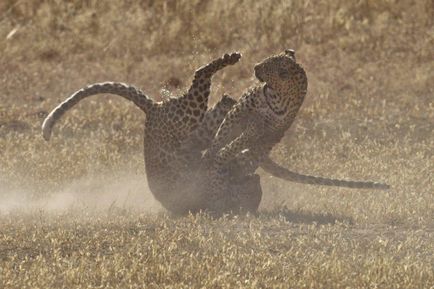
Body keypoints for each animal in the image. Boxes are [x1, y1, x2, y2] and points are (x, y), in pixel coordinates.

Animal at [203, 48, 390, 213]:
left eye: (266, 67)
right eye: (266, 60)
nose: (255, 66)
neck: (276, 95)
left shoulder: (261, 130)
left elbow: (239, 142)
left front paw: (221, 155)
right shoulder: (239, 110)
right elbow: (223, 133)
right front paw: (211, 154)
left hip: (263, 147)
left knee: (247, 160)